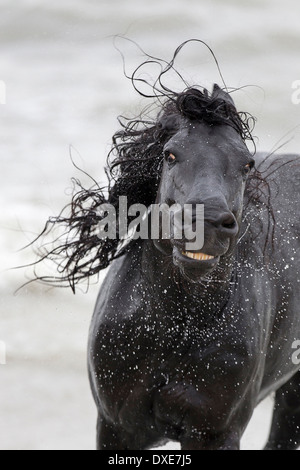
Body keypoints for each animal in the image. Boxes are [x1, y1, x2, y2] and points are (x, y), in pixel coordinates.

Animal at [34, 46, 300, 450]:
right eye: (171, 154)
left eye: (246, 163)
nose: (206, 223)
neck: (174, 329)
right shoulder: (117, 427)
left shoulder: (214, 433)